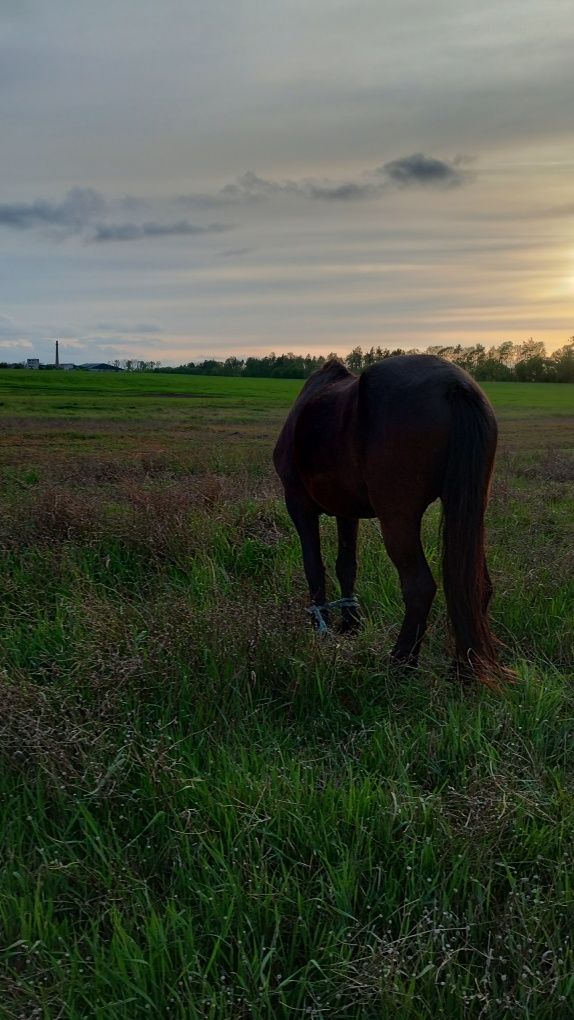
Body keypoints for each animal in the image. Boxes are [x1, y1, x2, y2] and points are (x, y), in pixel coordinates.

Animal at [273, 354, 511, 689]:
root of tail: (454, 384)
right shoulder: (347, 511)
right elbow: (346, 566)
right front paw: (350, 623)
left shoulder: (298, 504)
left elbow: (314, 567)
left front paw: (321, 627)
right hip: (470, 511)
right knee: (478, 586)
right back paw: (462, 668)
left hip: (398, 517)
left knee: (419, 586)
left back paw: (400, 663)